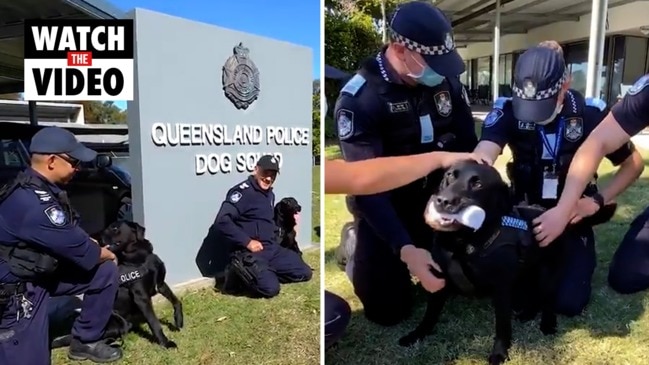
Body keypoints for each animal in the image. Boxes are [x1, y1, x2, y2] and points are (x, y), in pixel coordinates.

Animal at [398, 160, 560, 364]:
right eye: (450, 175)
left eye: (478, 184)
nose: (443, 201)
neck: (464, 242)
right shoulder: (438, 278)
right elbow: (430, 314)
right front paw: (417, 334)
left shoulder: (501, 288)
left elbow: (502, 325)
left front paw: (499, 353)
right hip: (527, 272)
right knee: (534, 295)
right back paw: (527, 314)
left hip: (548, 270)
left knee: (548, 299)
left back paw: (548, 324)